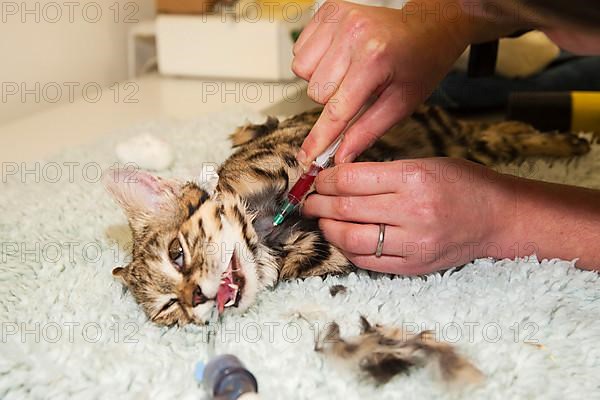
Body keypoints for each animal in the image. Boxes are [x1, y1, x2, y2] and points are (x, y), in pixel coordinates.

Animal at [104, 104, 592, 326]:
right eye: (170, 309)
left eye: (177, 253)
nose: (195, 299)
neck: (272, 234)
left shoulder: (312, 155)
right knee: (496, 133)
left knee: (499, 132)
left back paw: (568, 141)